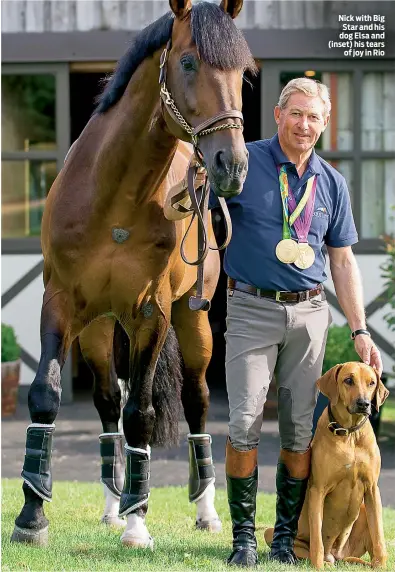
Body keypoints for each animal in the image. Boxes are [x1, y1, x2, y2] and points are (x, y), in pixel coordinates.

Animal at [11, 0, 256, 548]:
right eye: (187, 62)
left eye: (244, 74)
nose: (232, 165)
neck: (114, 198)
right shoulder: (60, 303)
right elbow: (45, 396)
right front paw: (31, 516)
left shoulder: (150, 315)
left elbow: (141, 414)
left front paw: (138, 524)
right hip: (99, 329)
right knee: (106, 402)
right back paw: (111, 504)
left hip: (193, 321)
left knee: (196, 400)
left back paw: (204, 510)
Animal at [266, 362, 390, 568]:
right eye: (348, 380)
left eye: (372, 383)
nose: (364, 403)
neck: (350, 435)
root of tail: (335, 555)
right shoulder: (318, 489)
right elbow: (317, 537)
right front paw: (317, 566)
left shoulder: (372, 489)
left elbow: (379, 534)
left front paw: (381, 565)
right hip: (272, 533)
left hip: (363, 512)